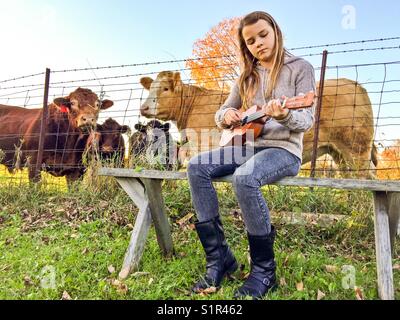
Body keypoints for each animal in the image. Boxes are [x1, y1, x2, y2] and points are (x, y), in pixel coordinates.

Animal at [141, 72, 378, 178]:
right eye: (149, 88)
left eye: (165, 89)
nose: (143, 107)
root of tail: (354, 84)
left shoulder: (203, 145)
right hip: (339, 153)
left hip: (356, 148)